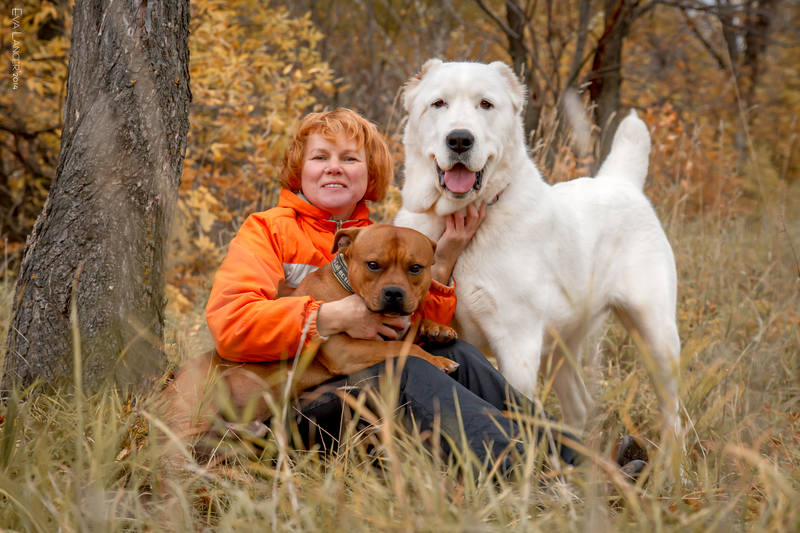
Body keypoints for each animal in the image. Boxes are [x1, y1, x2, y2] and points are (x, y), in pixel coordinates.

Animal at [157, 223, 459, 446]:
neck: (347, 285)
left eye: (415, 268)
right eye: (373, 264)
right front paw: (438, 360)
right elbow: (403, 349)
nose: (394, 293)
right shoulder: (347, 351)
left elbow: (414, 328)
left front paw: (437, 329)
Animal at [394, 59, 681, 437]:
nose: (459, 139)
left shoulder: (517, 344)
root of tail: (620, 182)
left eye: (486, 104)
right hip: (559, 346)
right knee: (581, 406)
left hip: (656, 335)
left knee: (672, 410)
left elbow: (516, 405)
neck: (459, 220)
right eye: (438, 103)